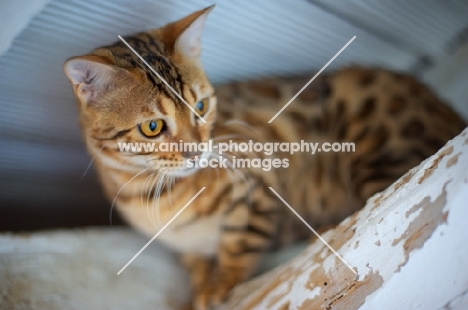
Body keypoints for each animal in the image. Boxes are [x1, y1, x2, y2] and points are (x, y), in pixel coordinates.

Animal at [62, 5, 464, 310]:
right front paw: (198, 288)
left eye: (201, 107)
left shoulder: (259, 182)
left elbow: (238, 244)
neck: (154, 195)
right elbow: (195, 263)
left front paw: (219, 285)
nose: (198, 152)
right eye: (152, 127)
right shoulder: (185, 245)